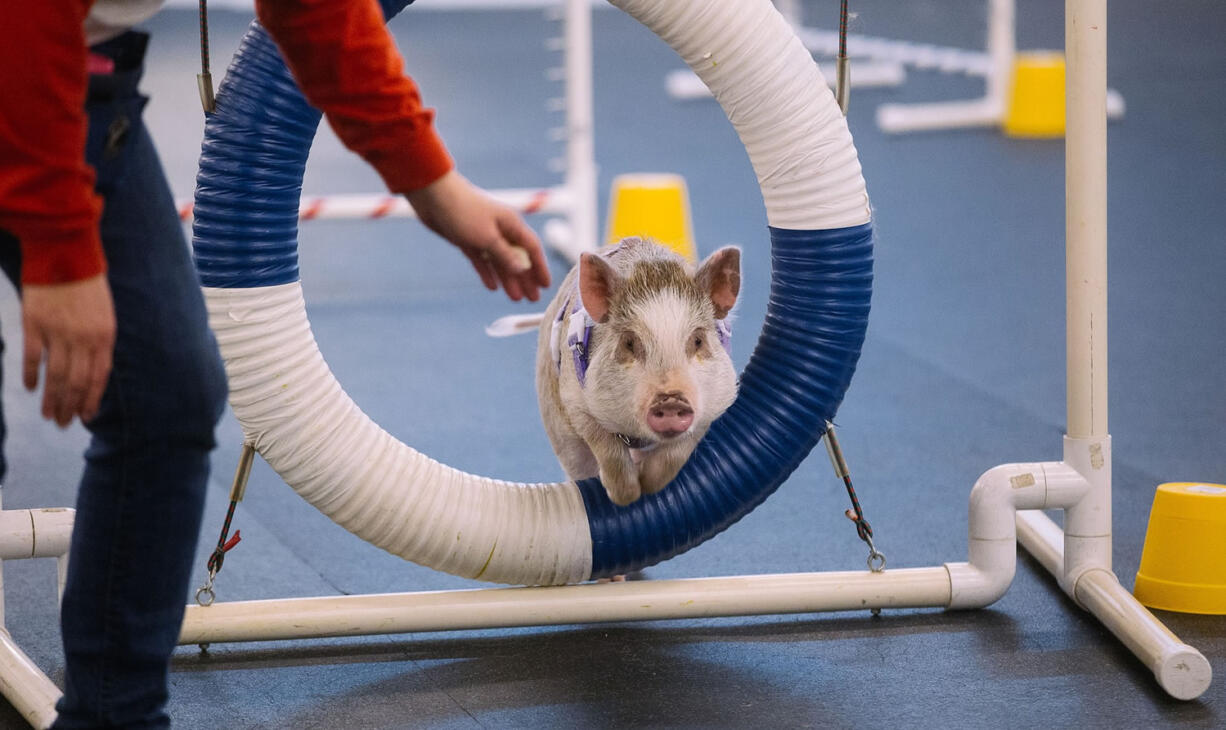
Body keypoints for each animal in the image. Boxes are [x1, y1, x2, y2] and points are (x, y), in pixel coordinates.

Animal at [534, 236, 735, 505]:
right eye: (629, 342)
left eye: (698, 340)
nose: (671, 399)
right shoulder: (575, 399)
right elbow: (606, 445)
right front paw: (626, 496)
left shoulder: (712, 404)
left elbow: (678, 450)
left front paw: (649, 484)